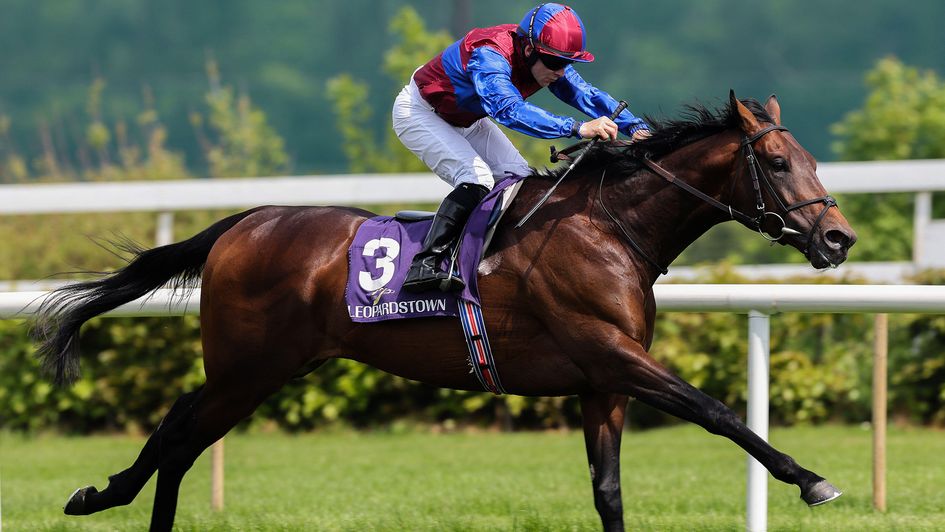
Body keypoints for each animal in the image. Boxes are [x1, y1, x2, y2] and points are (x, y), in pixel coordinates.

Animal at [31, 92, 856, 532]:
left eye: (811, 159)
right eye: (776, 162)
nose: (837, 238)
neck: (605, 225)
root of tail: (244, 222)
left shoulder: (602, 382)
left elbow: (608, 491)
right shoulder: (609, 352)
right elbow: (716, 411)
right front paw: (811, 478)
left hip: (257, 369)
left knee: (178, 434)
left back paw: (108, 496)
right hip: (247, 369)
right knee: (178, 436)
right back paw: (107, 497)